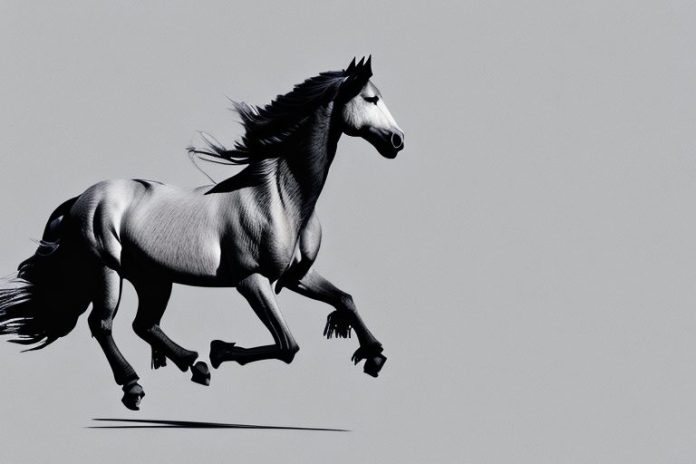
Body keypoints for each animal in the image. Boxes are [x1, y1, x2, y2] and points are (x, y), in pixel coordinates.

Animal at [0, 56, 404, 410]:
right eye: (371, 98)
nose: (397, 140)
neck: (278, 196)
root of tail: (81, 198)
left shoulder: (295, 276)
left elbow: (344, 299)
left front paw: (374, 355)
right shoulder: (251, 280)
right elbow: (288, 346)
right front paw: (221, 350)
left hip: (153, 279)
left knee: (144, 325)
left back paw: (193, 364)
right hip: (107, 270)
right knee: (102, 325)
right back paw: (135, 386)